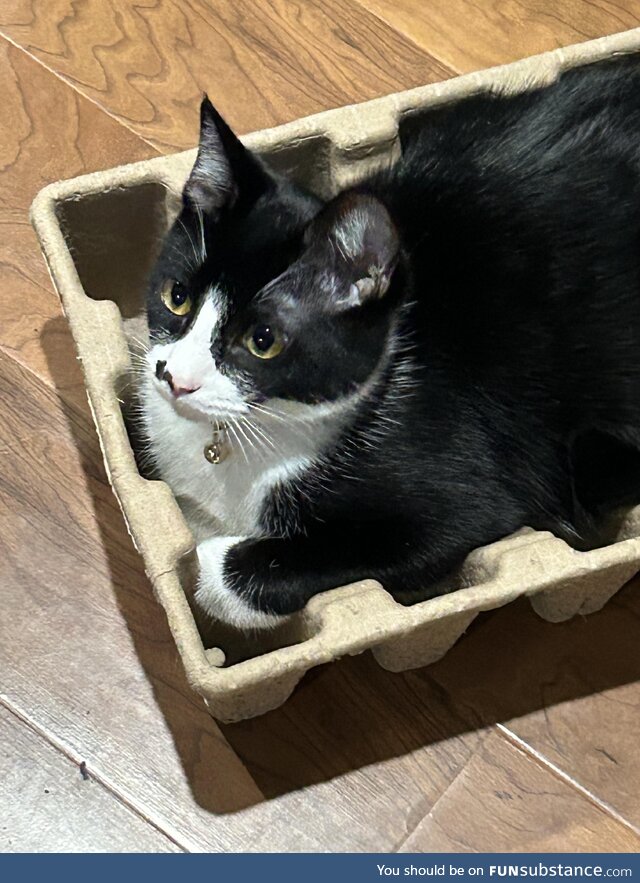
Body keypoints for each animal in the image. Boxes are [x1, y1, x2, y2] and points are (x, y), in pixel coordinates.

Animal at [141, 58, 640, 628]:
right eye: (177, 296)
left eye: (263, 340)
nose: (176, 379)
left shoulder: (472, 483)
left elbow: (385, 543)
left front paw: (206, 572)